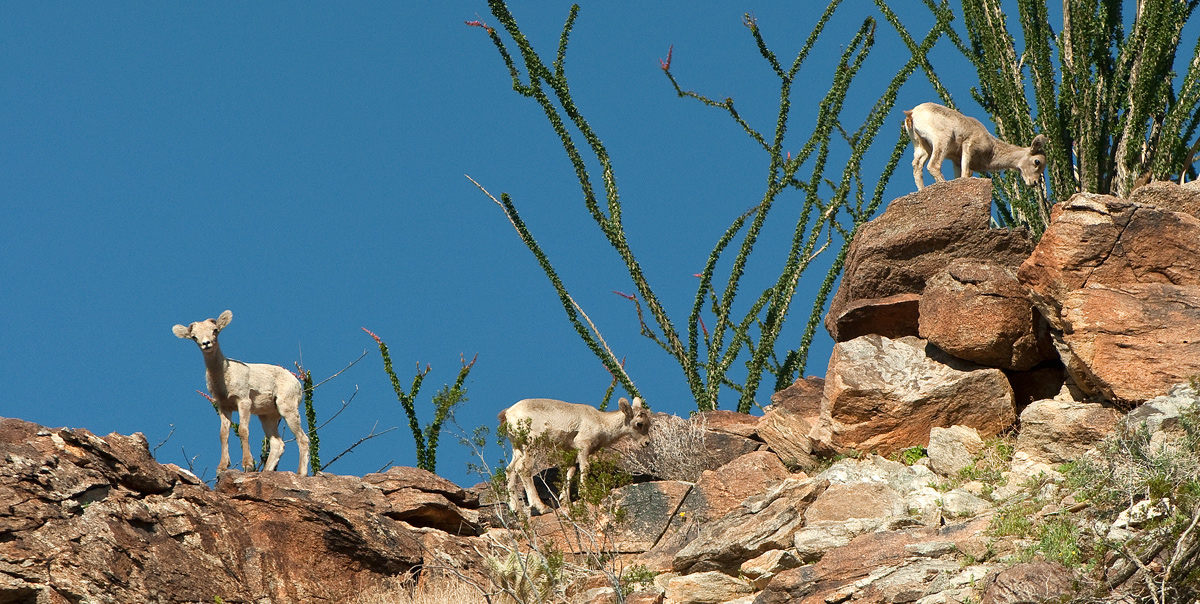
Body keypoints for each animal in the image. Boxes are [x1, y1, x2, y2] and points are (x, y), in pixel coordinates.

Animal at [172, 310, 310, 476]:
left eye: (215, 330)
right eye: (194, 336)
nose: (206, 344)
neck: (224, 376)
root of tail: (296, 382)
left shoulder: (243, 401)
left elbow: (243, 430)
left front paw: (247, 465)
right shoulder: (224, 407)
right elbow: (223, 434)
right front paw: (222, 467)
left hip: (287, 409)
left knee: (303, 439)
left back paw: (301, 474)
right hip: (267, 416)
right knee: (278, 444)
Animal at [498, 396, 651, 515]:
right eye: (639, 424)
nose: (647, 442)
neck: (602, 423)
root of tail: (508, 414)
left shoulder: (570, 452)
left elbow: (570, 471)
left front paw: (564, 500)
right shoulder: (583, 446)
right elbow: (585, 467)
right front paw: (584, 494)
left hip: (518, 448)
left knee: (510, 470)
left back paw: (516, 510)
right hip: (532, 444)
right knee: (524, 470)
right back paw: (543, 508)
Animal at [904, 102, 1047, 191]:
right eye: (1037, 161)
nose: (1034, 182)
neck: (991, 150)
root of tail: (912, 113)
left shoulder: (957, 160)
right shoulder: (969, 147)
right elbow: (966, 174)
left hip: (923, 148)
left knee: (917, 166)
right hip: (942, 140)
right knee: (933, 166)